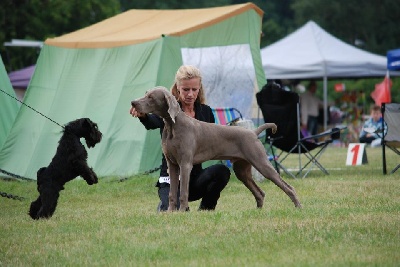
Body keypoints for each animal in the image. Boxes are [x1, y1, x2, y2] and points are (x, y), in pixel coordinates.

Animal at [130, 87, 302, 213]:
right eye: (146, 94)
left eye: (151, 97)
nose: (133, 102)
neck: (172, 126)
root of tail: (253, 132)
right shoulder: (172, 165)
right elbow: (172, 192)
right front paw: (171, 212)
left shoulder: (185, 164)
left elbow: (183, 191)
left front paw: (182, 211)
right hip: (241, 170)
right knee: (260, 192)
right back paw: (258, 212)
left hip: (262, 163)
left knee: (289, 187)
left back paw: (298, 207)